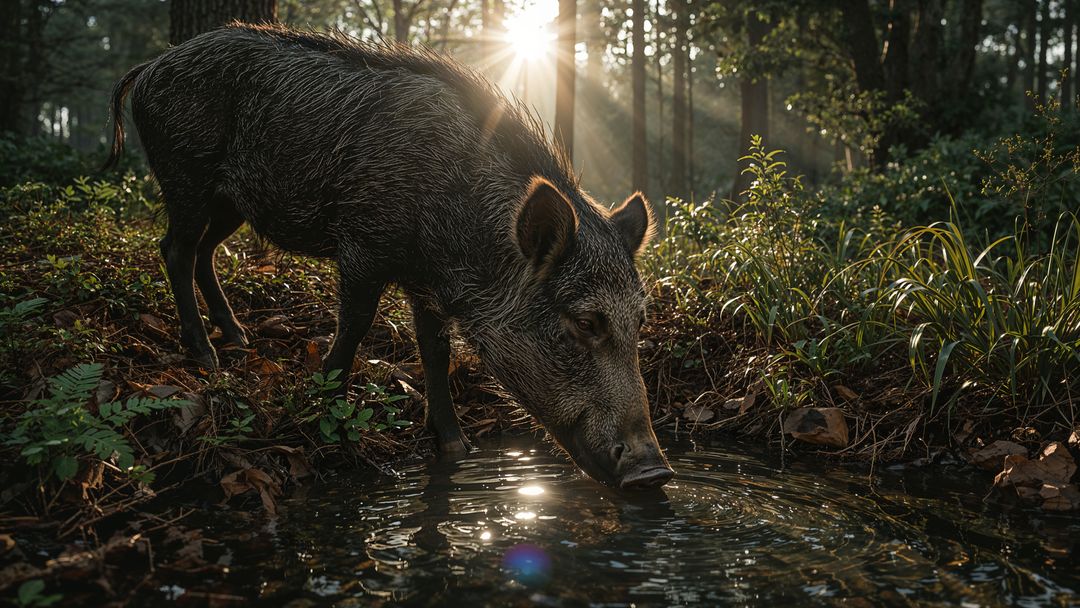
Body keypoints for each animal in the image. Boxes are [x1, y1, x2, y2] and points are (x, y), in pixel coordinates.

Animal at [105, 24, 673, 490]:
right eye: (586, 322)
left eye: (641, 320)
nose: (655, 471)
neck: (455, 225)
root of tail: (150, 67)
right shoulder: (363, 245)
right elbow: (356, 325)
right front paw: (328, 411)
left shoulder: (426, 283)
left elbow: (435, 351)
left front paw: (455, 448)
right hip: (186, 174)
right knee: (175, 249)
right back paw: (208, 356)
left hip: (229, 202)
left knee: (205, 252)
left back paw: (239, 339)